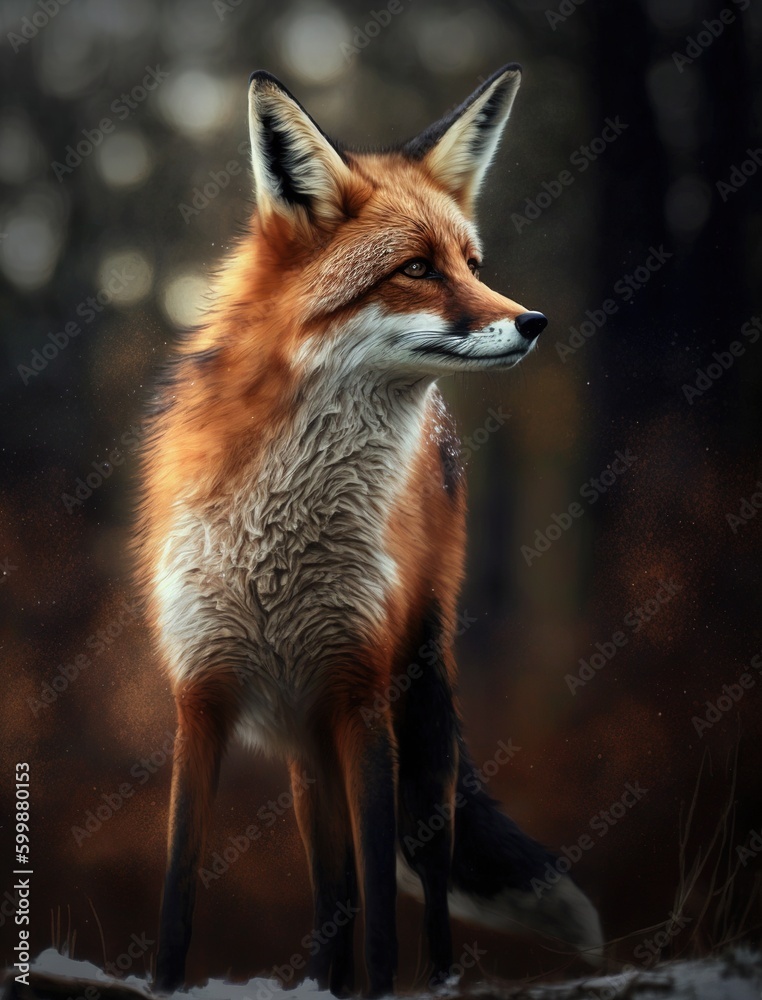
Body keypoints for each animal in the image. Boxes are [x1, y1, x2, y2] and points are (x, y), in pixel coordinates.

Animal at [137, 64, 604, 997]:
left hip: (416, 715)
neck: (278, 545)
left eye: (471, 265)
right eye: (416, 269)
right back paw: (328, 979)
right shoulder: (200, 698)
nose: (534, 322)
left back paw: (440, 979)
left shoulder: (361, 696)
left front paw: (385, 981)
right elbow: (178, 899)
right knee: (334, 889)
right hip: (307, 751)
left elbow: (388, 918)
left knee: (424, 883)